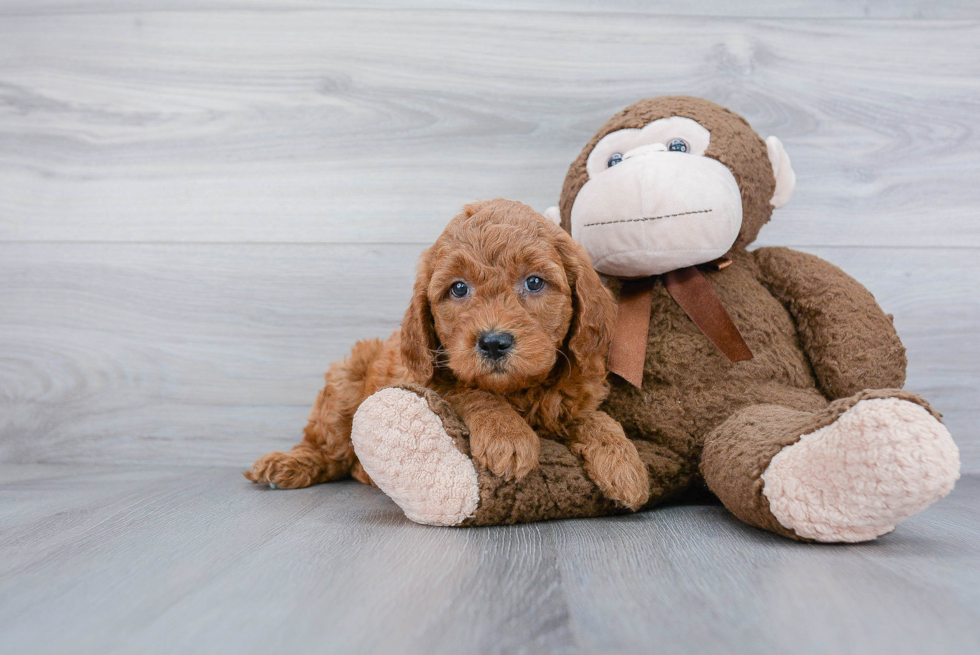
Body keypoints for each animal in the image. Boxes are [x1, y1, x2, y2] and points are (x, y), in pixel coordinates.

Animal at [247, 197, 652, 510]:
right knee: (327, 449)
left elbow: (596, 418)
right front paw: (509, 437)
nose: (493, 342)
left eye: (535, 282)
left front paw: (624, 465)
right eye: (458, 289)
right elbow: (473, 392)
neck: (519, 391)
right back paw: (286, 464)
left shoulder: (574, 395)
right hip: (343, 384)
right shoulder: (431, 379)